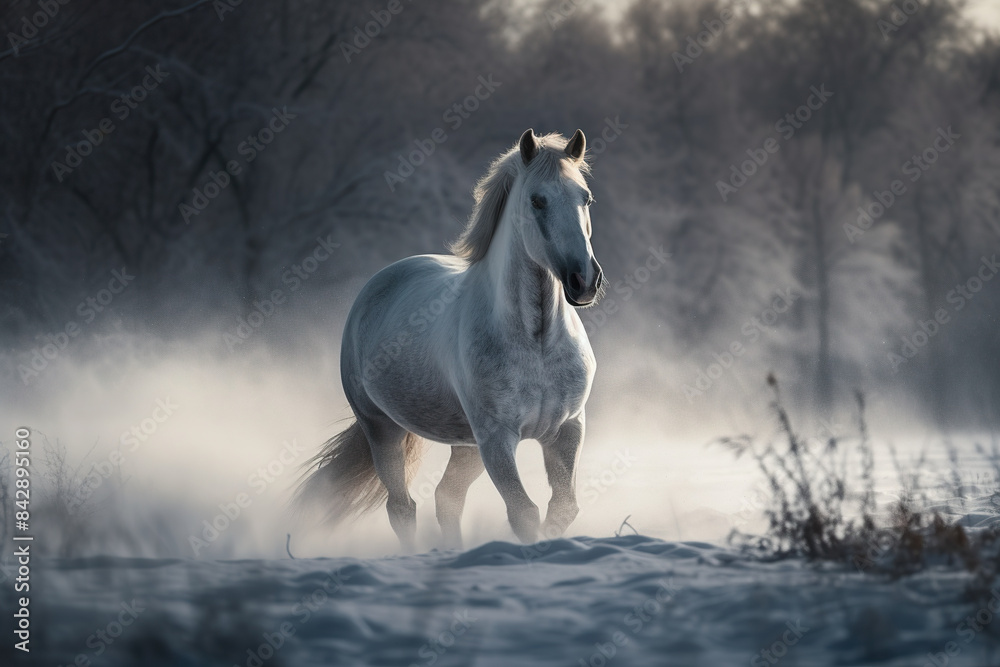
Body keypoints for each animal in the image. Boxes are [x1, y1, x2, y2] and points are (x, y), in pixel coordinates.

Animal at [297, 128, 603, 551]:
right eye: (537, 200)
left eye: (585, 198)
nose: (584, 280)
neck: (537, 344)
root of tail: (380, 282)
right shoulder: (497, 439)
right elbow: (523, 512)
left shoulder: (567, 430)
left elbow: (563, 508)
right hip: (383, 428)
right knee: (402, 508)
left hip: (465, 445)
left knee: (446, 499)